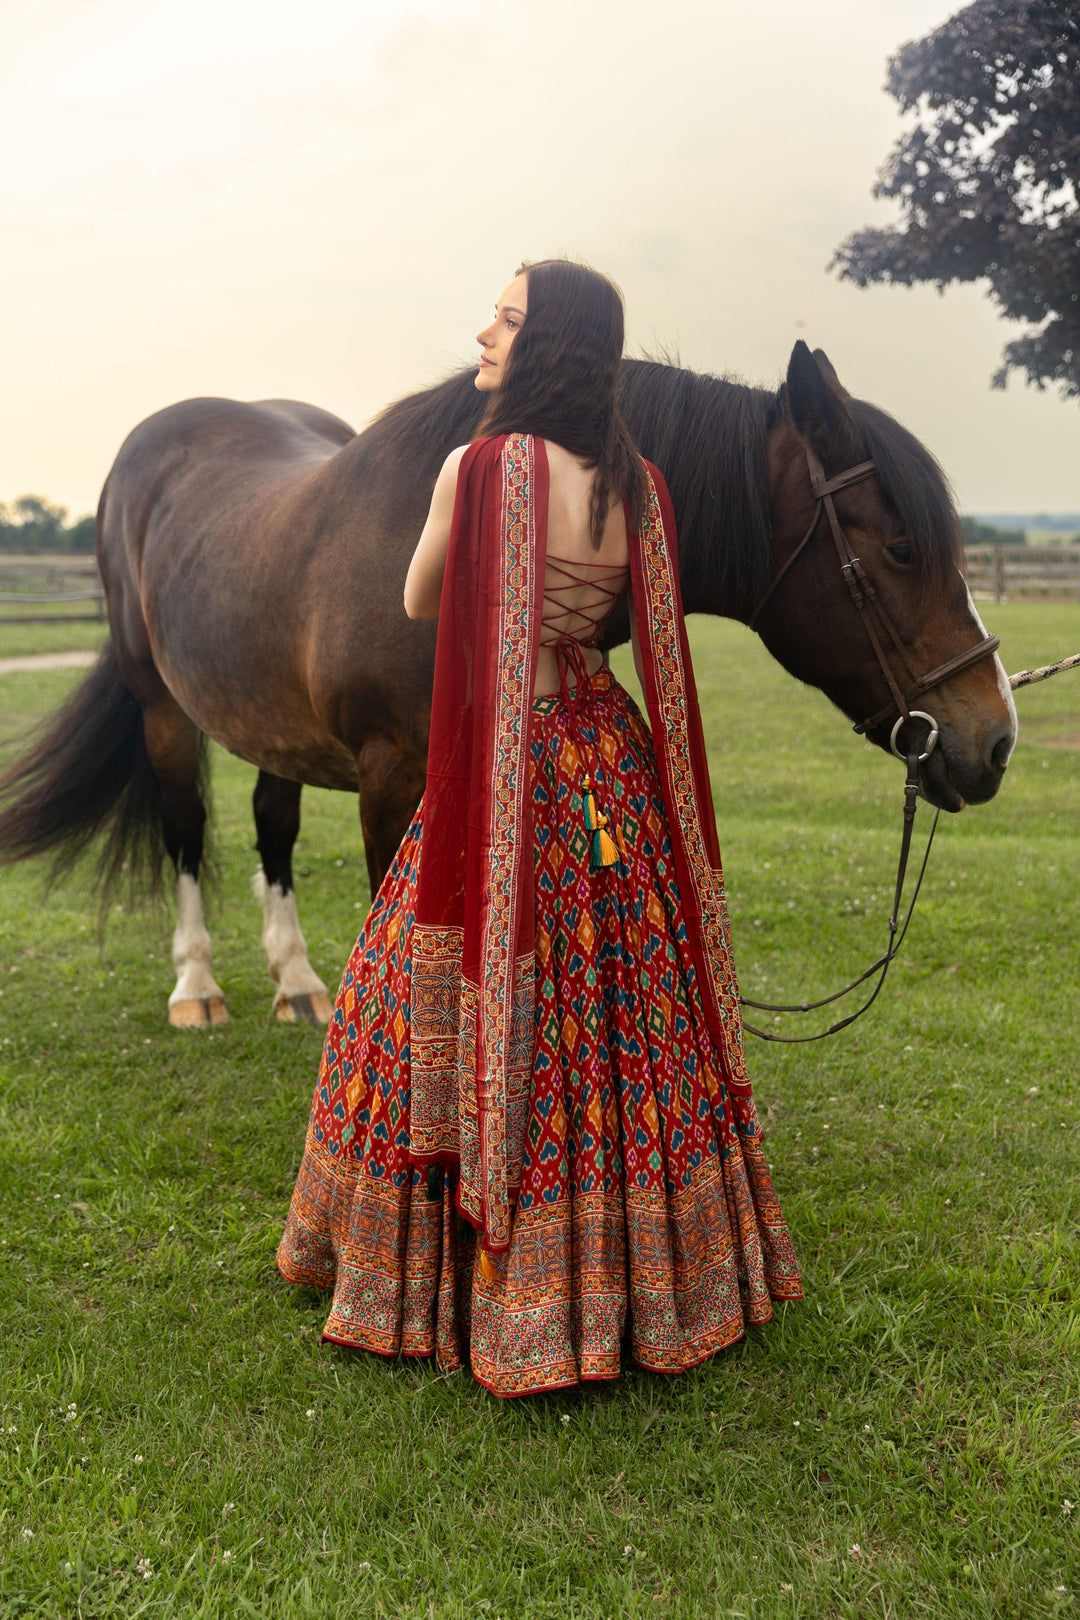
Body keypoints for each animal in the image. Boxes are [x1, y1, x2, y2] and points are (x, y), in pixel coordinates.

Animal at [0, 341, 1016, 1023]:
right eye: (902, 546)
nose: (995, 738)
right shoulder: (394, 777)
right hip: (162, 709)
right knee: (185, 827)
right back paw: (198, 986)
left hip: (267, 719)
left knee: (272, 827)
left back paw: (296, 983)